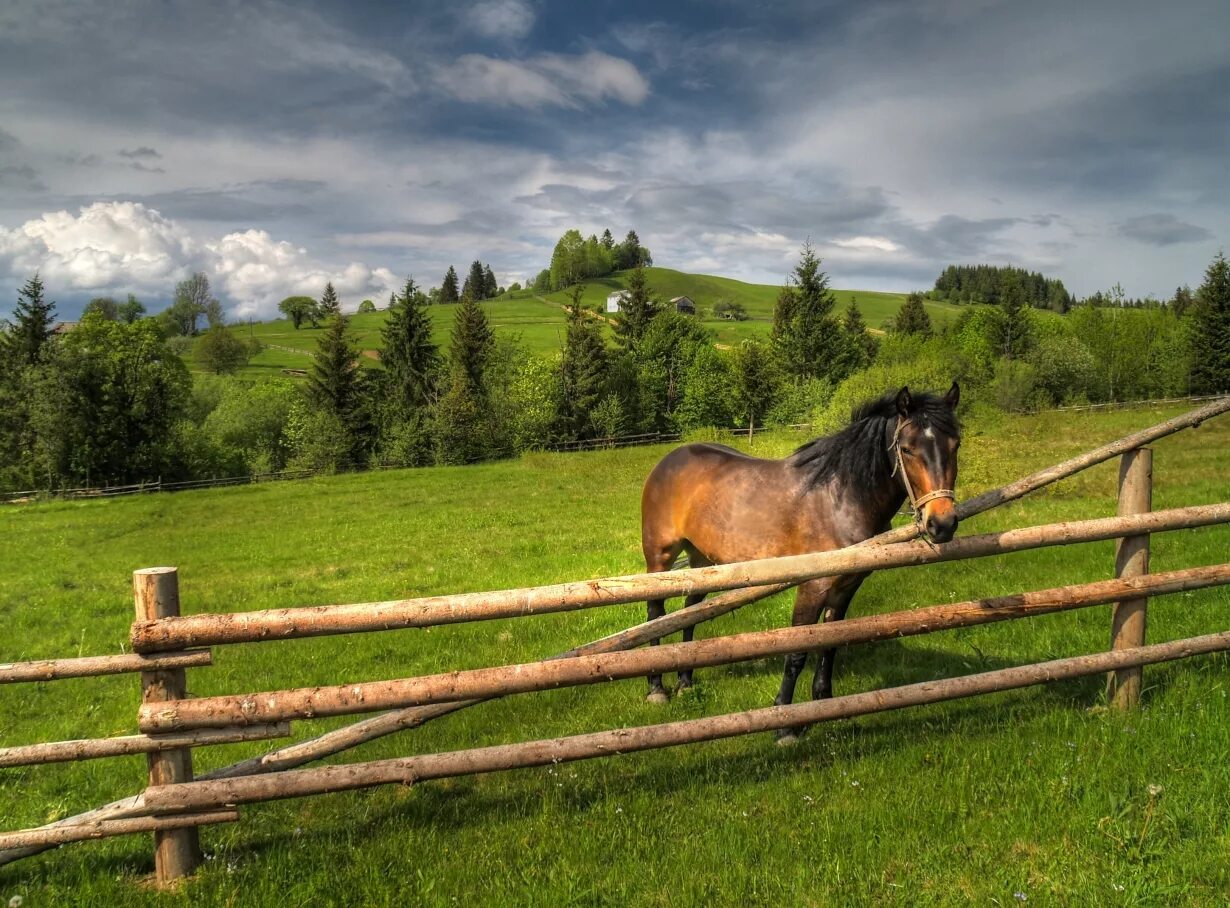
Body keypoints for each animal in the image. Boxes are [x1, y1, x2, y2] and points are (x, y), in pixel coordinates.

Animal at [639, 381, 964, 738]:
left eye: (956, 444)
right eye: (906, 449)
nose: (942, 524)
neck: (841, 498)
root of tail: (669, 459)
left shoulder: (845, 588)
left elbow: (830, 644)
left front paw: (826, 703)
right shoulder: (813, 586)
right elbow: (797, 651)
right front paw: (785, 722)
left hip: (702, 560)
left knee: (690, 610)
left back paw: (685, 681)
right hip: (660, 557)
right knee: (656, 612)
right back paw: (657, 688)